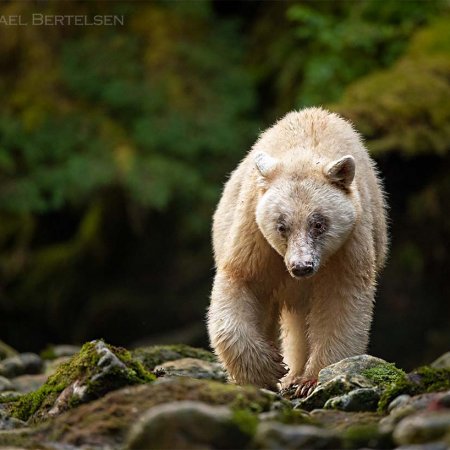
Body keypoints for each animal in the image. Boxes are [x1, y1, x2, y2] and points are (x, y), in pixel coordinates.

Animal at [207, 107, 386, 396]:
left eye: (318, 223)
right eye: (282, 226)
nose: (301, 266)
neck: (305, 148)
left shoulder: (350, 243)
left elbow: (340, 300)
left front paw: (310, 380)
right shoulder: (254, 234)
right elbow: (241, 282)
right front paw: (267, 367)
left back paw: (295, 376)